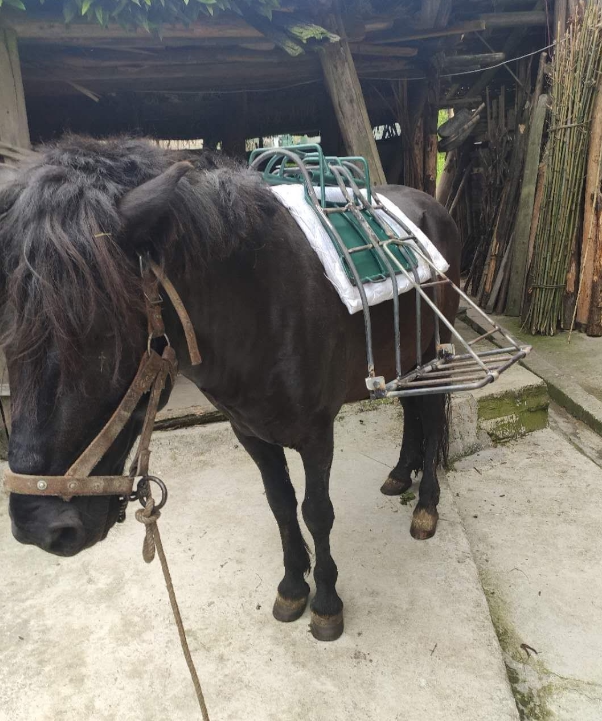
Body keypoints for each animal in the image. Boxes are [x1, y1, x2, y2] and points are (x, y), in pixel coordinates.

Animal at [0, 136, 460, 641]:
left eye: (100, 333)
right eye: (8, 335)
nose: (38, 527)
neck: (263, 301)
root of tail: (429, 204)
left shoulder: (318, 433)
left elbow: (317, 511)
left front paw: (325, 603)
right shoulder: (251, 432)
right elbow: (281, 505)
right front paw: (292, 588)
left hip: (437, 346)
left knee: (431, 414)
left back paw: (426, 506)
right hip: (407, 356)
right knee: (412, 409)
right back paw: (400, 472)